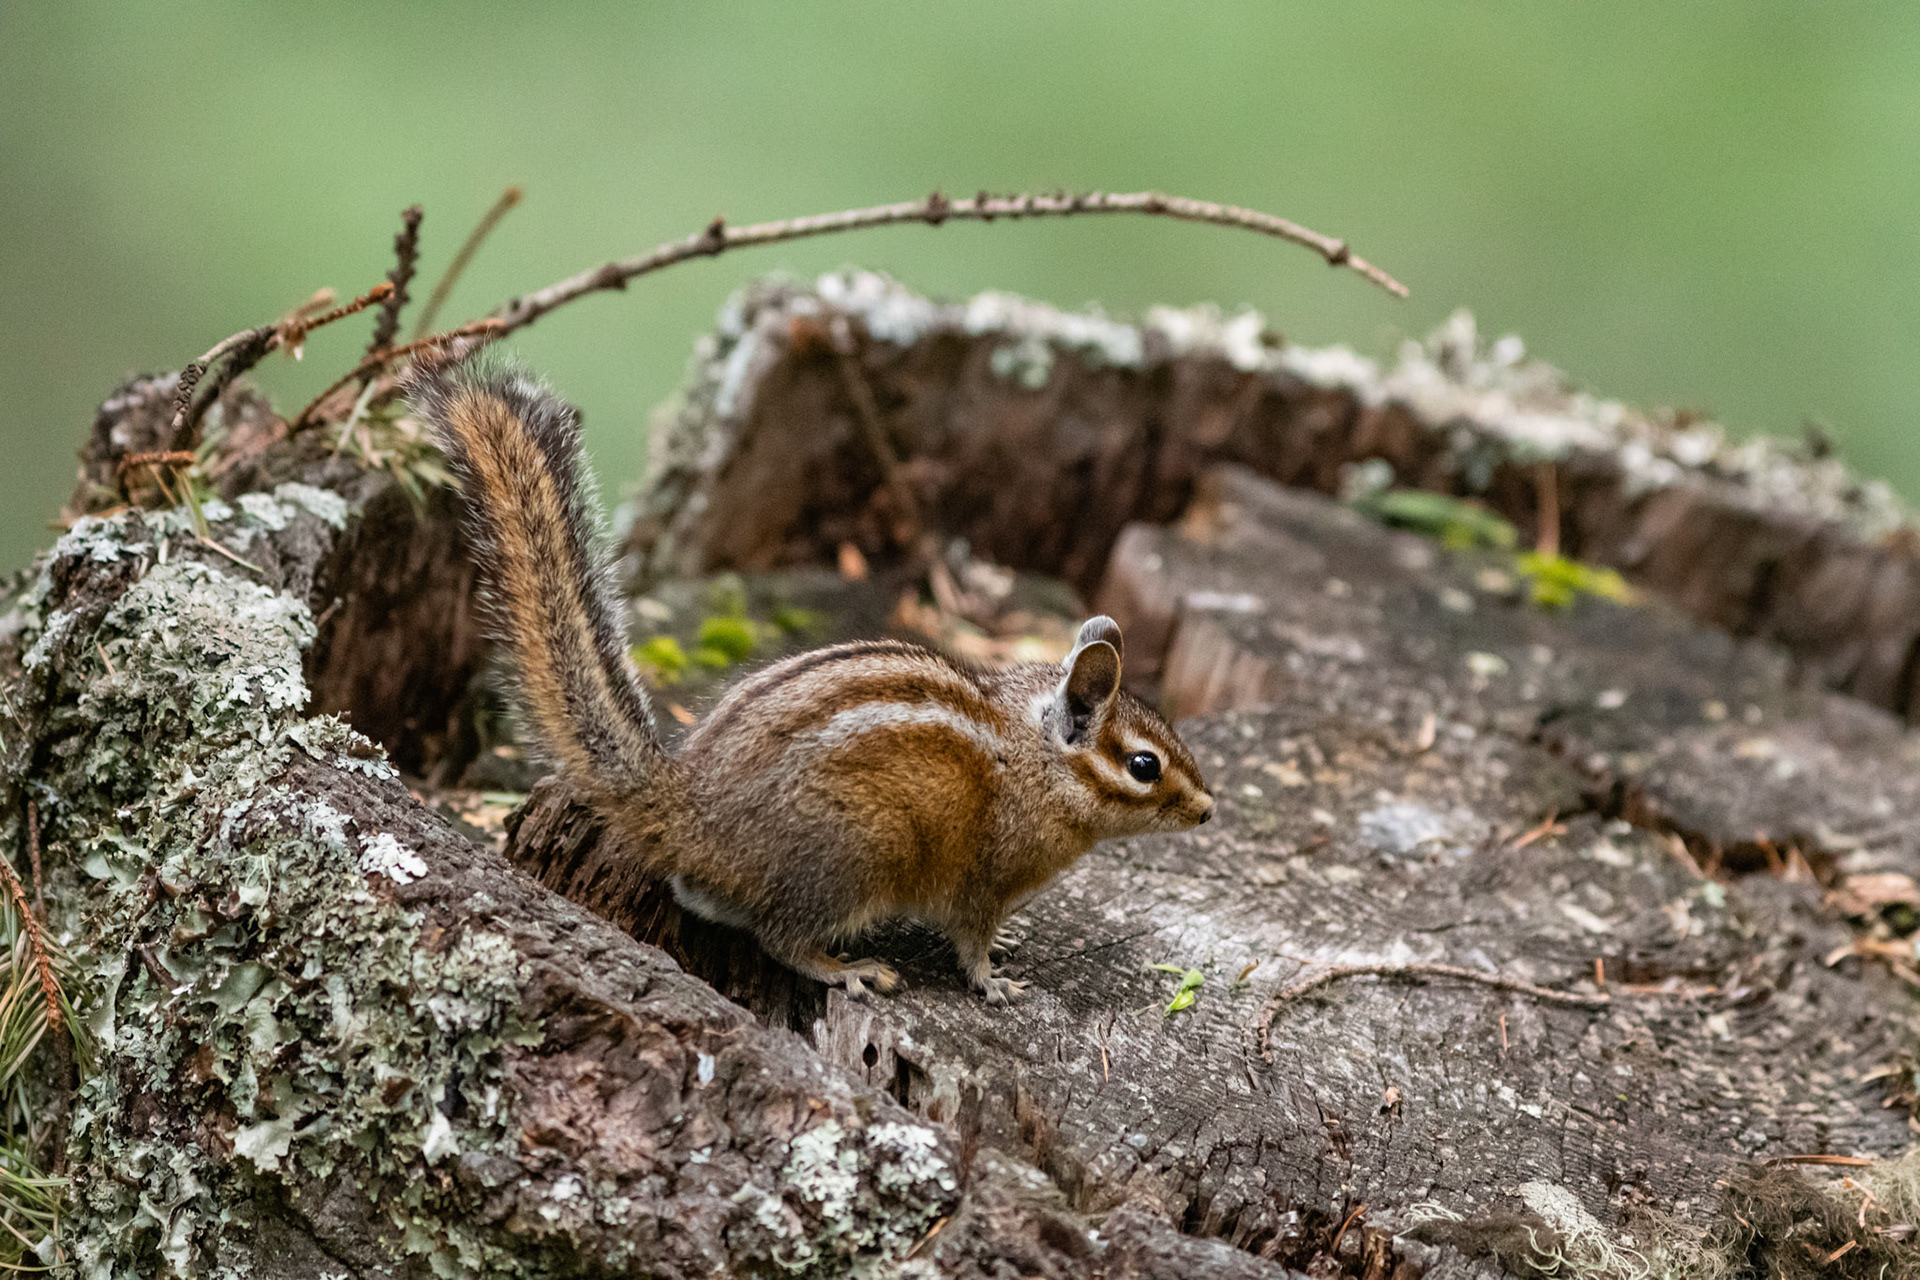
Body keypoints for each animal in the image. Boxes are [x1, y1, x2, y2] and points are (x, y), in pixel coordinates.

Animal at [409, 355, 1215, 1005]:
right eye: (1145, 766)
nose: (1209, 811)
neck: (1037, 761)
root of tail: (688, 813)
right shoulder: (984, 880)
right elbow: (971, 940)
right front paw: (994, 981)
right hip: (858, 854)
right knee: (779, 938)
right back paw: (848, 970)